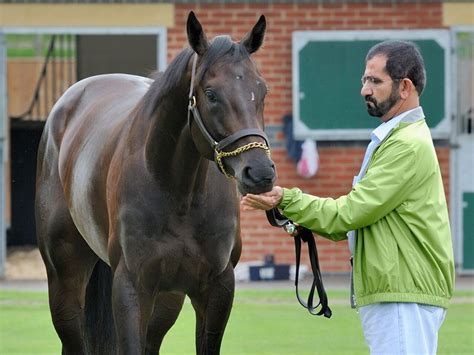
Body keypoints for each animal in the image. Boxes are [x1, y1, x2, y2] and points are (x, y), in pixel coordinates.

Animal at [35, 12, 276, 354]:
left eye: (262, 90)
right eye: (211, 94)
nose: (259, 173)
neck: (179, 193)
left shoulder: (217, 289)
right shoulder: (132, 288)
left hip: (166, 300)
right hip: (65, 283)